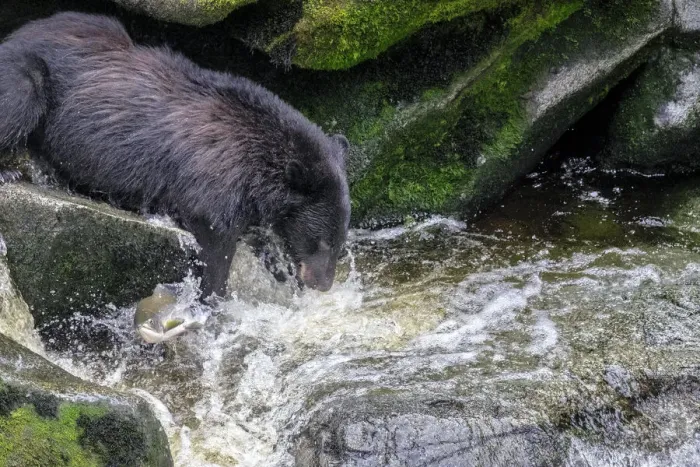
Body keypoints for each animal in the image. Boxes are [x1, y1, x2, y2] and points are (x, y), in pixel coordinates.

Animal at [0, 12, 351, 298]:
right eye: (322, 241)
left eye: (340, 243)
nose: (323, 284)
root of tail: (14, 34)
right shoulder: (214, 176)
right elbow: (216, 237)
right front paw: (212, 295)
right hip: (30, 74)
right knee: (21, 96)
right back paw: (9, 171)